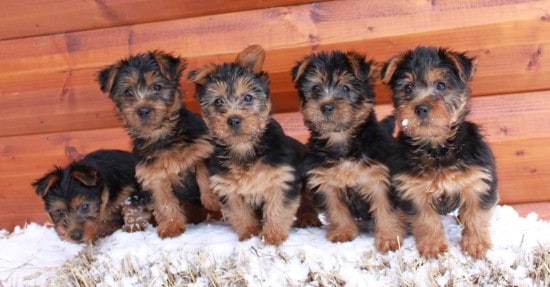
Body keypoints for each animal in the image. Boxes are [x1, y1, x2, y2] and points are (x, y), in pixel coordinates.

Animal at [98, 51, 221, 238]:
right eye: (128, 93)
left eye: (157, 87)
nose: (143, 110)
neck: (161, 134)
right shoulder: (154, 174)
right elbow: (165, 202)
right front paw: (171, 226)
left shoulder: (202, 148)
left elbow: (203, 174)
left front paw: (212, 199)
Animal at [189, 44, 322, 245]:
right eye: (218, 101)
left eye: (248, 98)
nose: (234, 119)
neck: (244, 147)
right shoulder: (228, 187)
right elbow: (239, 213)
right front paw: (249, 234)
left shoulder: (282, 179)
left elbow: (278, 209)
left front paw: (272, 236)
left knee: (307, 201)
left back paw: (308, 218)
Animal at [294, 50, 406, 253]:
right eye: (315, 89)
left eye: (345, 88)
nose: (326, 106)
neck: (341, 140)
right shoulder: (325, 182)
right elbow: (337, 210)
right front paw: (343, 232)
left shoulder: (380, 179)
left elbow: (386, 210)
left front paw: (389, 239)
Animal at [384, 46, 500, 258]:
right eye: (408, 88)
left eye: (440, 85)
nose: (421, 108)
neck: (436, 146)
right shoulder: (413, 190)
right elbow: (425, 220)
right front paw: (433, 247)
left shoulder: (477, 182)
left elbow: (476, 215)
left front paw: (476, 245)